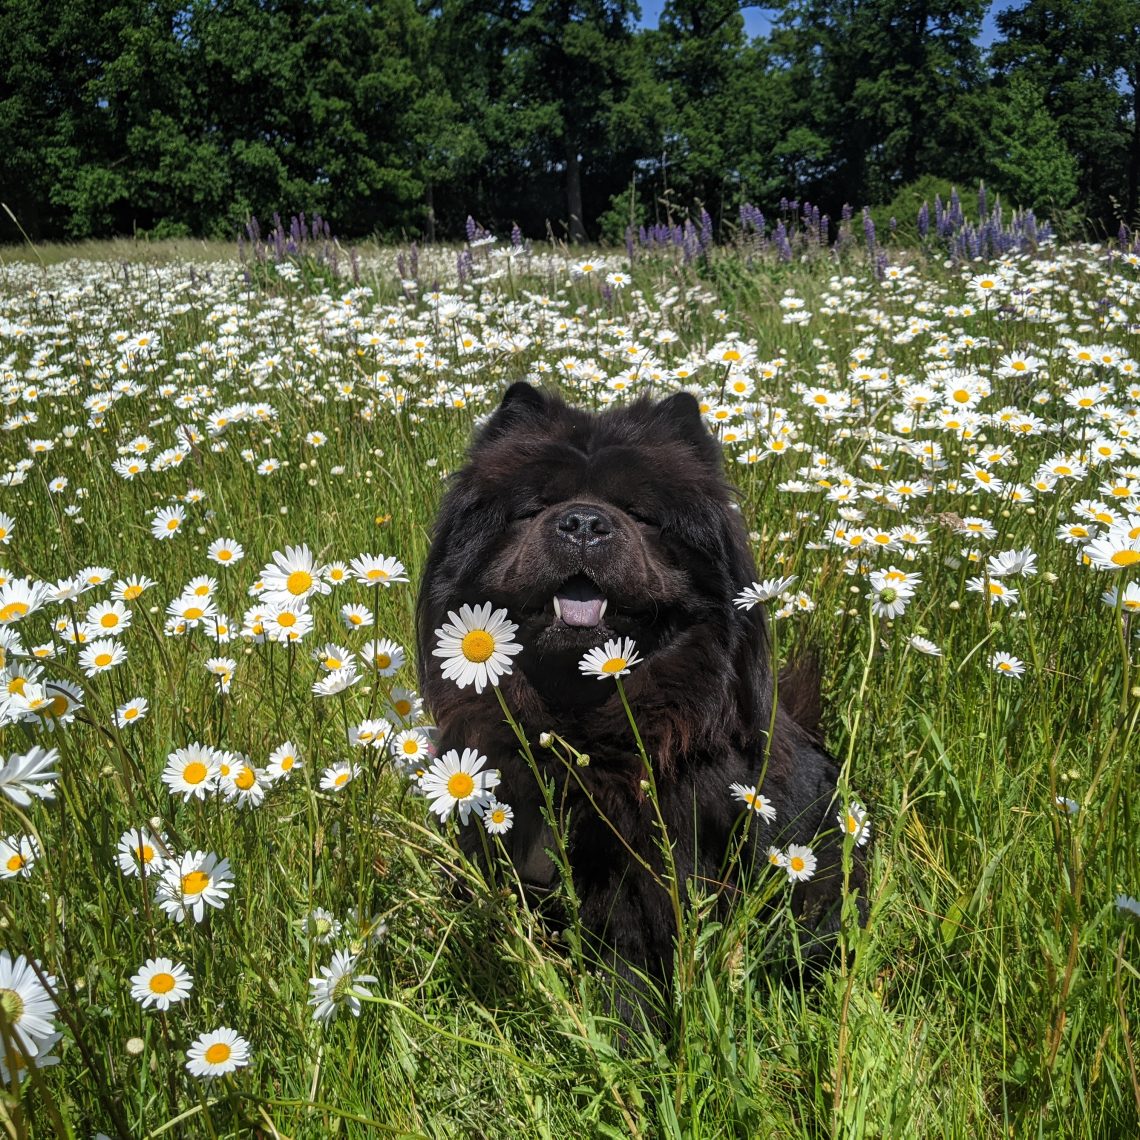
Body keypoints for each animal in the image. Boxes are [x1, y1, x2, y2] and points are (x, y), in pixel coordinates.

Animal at [417, 383, 857, 1026]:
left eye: (640, 514)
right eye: (536, 506)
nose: (583, 521)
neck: (579, 735)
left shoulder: (647, 872)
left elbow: (626, 970)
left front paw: (624, 1032)